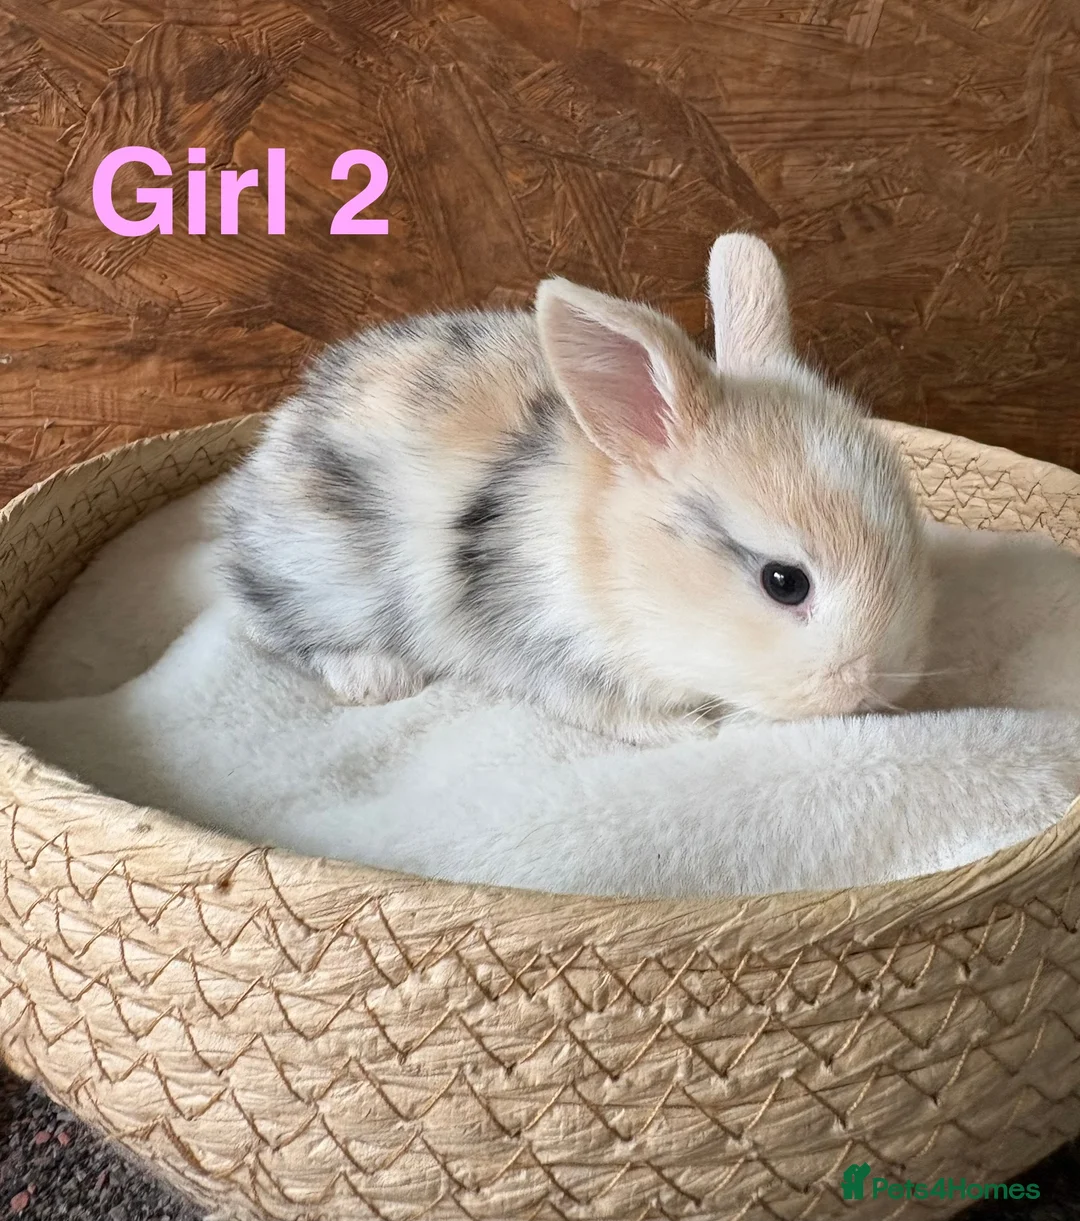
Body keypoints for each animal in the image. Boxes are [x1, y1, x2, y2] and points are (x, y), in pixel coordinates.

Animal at [219, 234, 933, 745]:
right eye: (784, 583)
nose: (874, 685)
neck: (609, 552)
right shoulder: (546, 651)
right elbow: (604, 709)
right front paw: (691, 729)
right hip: (321, 574)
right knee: (269, 627)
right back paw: (375, 677)